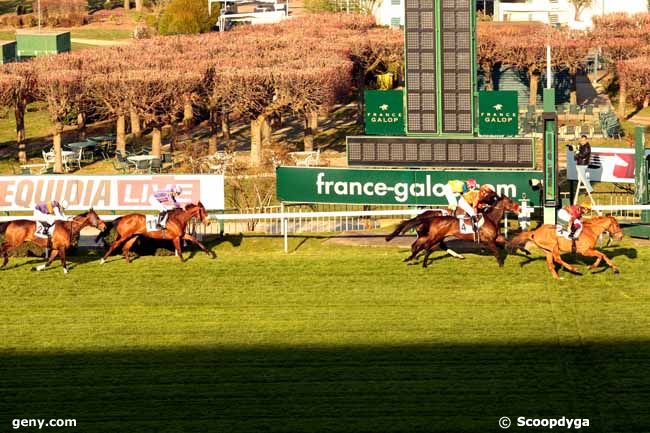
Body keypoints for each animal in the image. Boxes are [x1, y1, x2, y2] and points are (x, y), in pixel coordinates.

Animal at [384, 194, 520, 264]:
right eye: (510, 201)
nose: (519, 208)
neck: (490, 218)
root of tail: (423, 216)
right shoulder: (488, 239)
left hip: (429, 235)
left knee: (418, 245)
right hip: (434, 236)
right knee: (423, 245)